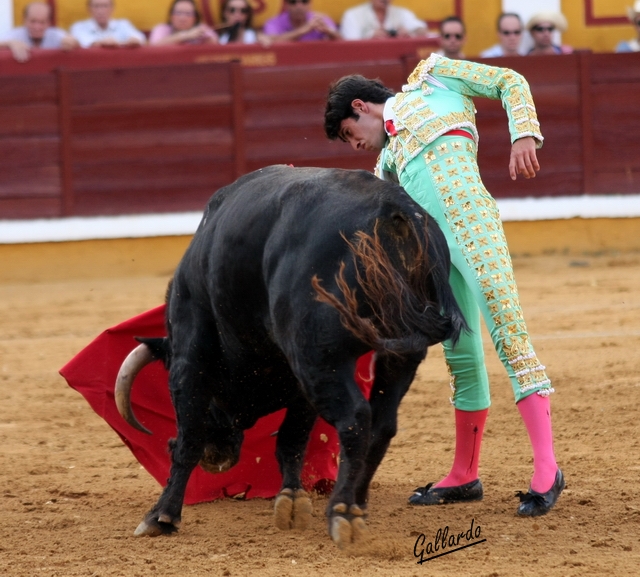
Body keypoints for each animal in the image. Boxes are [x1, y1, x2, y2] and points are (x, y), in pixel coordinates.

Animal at [114, 164, 464, 548]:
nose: (216, 457)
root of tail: (393, 209)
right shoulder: (298, 377)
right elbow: (291, 440)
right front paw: (291, 502)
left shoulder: (191, 358)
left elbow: (188, 438)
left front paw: (161, 516)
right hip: (397, 357)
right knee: (381, 424)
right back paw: (357, 505)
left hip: (319, 357)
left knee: (356, 418)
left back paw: (342, 512)